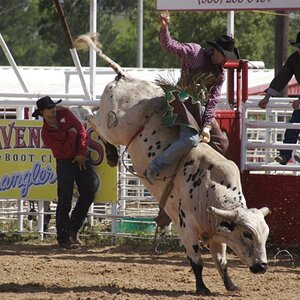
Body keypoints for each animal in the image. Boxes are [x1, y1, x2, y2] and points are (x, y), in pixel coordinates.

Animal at [74, 34, 270, 294]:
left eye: (265, 234)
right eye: (247, 234)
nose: (262, 266)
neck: (210, 187)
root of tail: (125, 76)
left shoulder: (217, 234)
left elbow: (221, 261)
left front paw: (231, 285)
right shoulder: (186, 228)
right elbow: (196, 261)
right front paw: (202, 288)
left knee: (94, 115)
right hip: (114, 127)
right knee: (90, 116)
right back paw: (108, 149)